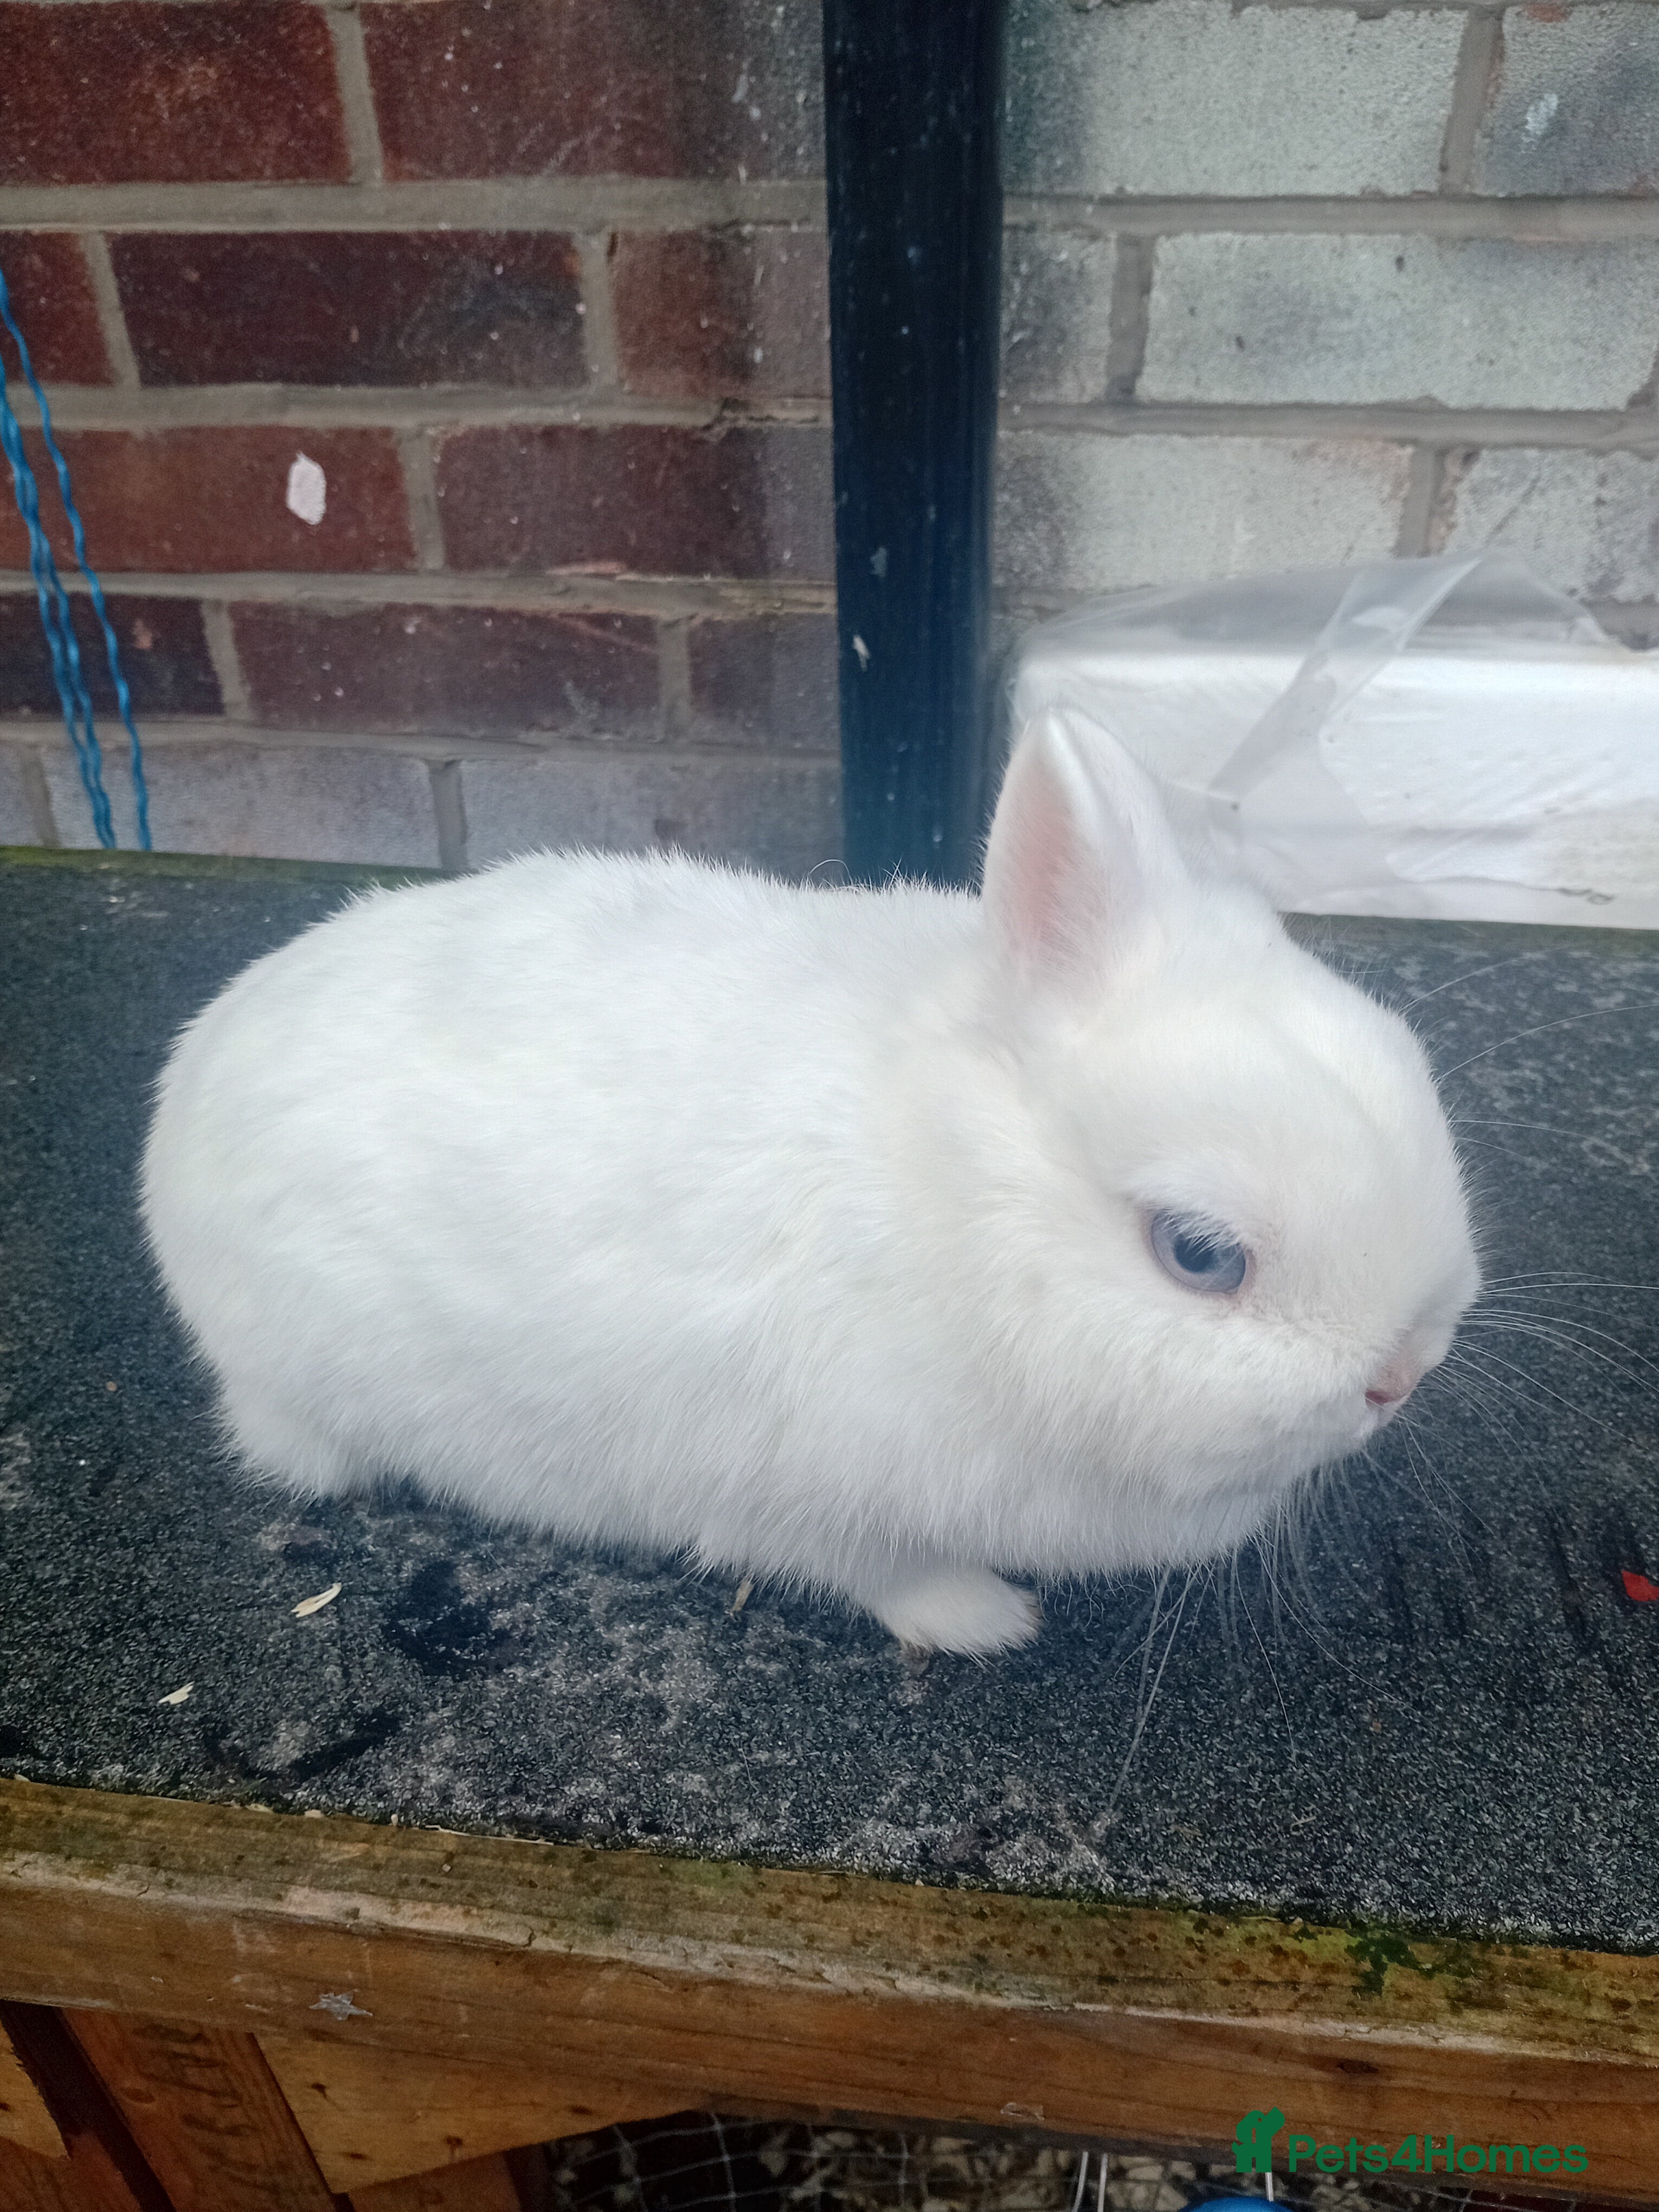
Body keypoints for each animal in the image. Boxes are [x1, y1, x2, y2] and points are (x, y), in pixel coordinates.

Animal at [141, 705, 1480, 1656]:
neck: (961, 1210)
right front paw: (988, 1622)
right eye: (1199, 1253)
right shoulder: (809, 1496)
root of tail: (186, 1098)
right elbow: (885, 1572)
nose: (1405, 1373)